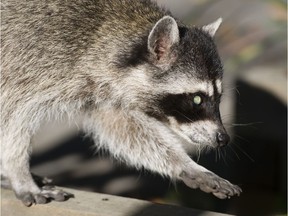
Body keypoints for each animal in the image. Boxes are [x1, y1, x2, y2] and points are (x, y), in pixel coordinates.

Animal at [1, 0, 242, 206]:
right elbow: (12, 116)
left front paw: (186, 165)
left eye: (219, 97)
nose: (223, 138)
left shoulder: (100, 88)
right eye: (197, 99)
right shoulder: (29, 59)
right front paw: (18, 172)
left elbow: (120, 124)